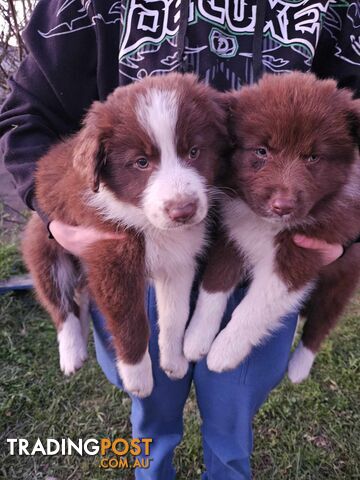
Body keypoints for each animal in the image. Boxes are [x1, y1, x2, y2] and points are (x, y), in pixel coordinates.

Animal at [21, 73, 228, 396]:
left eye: (194, 152)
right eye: (141, 162)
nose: (183, 210)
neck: (147, 223)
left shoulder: (178, 261)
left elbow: (175, 316)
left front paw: (174, 362)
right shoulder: (111, 259)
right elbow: (130, 323)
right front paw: (138, 378)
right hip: (43, 248)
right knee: (60, 303)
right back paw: (72, 352)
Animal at [183, 72, 360, 382]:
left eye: (313, 157)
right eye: (261, 151)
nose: (283, 206)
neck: (265, 224)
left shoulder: (301, 256)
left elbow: (254, 307)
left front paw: (224, 352)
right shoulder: (231, 237)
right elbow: (213, 287)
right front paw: (196, 339)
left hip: (343, 273)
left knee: (321, 322)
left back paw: (300, 366)